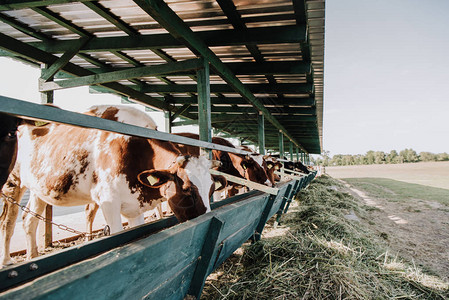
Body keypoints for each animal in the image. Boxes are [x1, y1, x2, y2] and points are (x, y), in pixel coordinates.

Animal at [0, 105, 217, 264]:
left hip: (39, 188)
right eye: (188, 191)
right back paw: (7, 261)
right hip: (13, 182)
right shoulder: (108, 201)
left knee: (29, 219)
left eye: (212, 190)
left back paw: (33, 257)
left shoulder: (134, 203)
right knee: (8, 221)